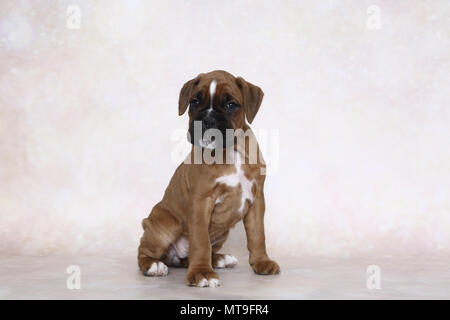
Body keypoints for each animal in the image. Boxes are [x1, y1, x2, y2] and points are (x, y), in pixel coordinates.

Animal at [137, 70, 280, 288]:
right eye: (195, 102)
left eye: (231, 104)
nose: (207, 120)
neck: (230, 151)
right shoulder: (201, 202)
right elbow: (200, 241)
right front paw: (202, 273)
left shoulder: (257, 201)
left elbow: (257, 235)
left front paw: (261, 262)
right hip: (164, 226)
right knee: (144, 251)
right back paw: (154, 266)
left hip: (221, 233)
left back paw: (220, 259)